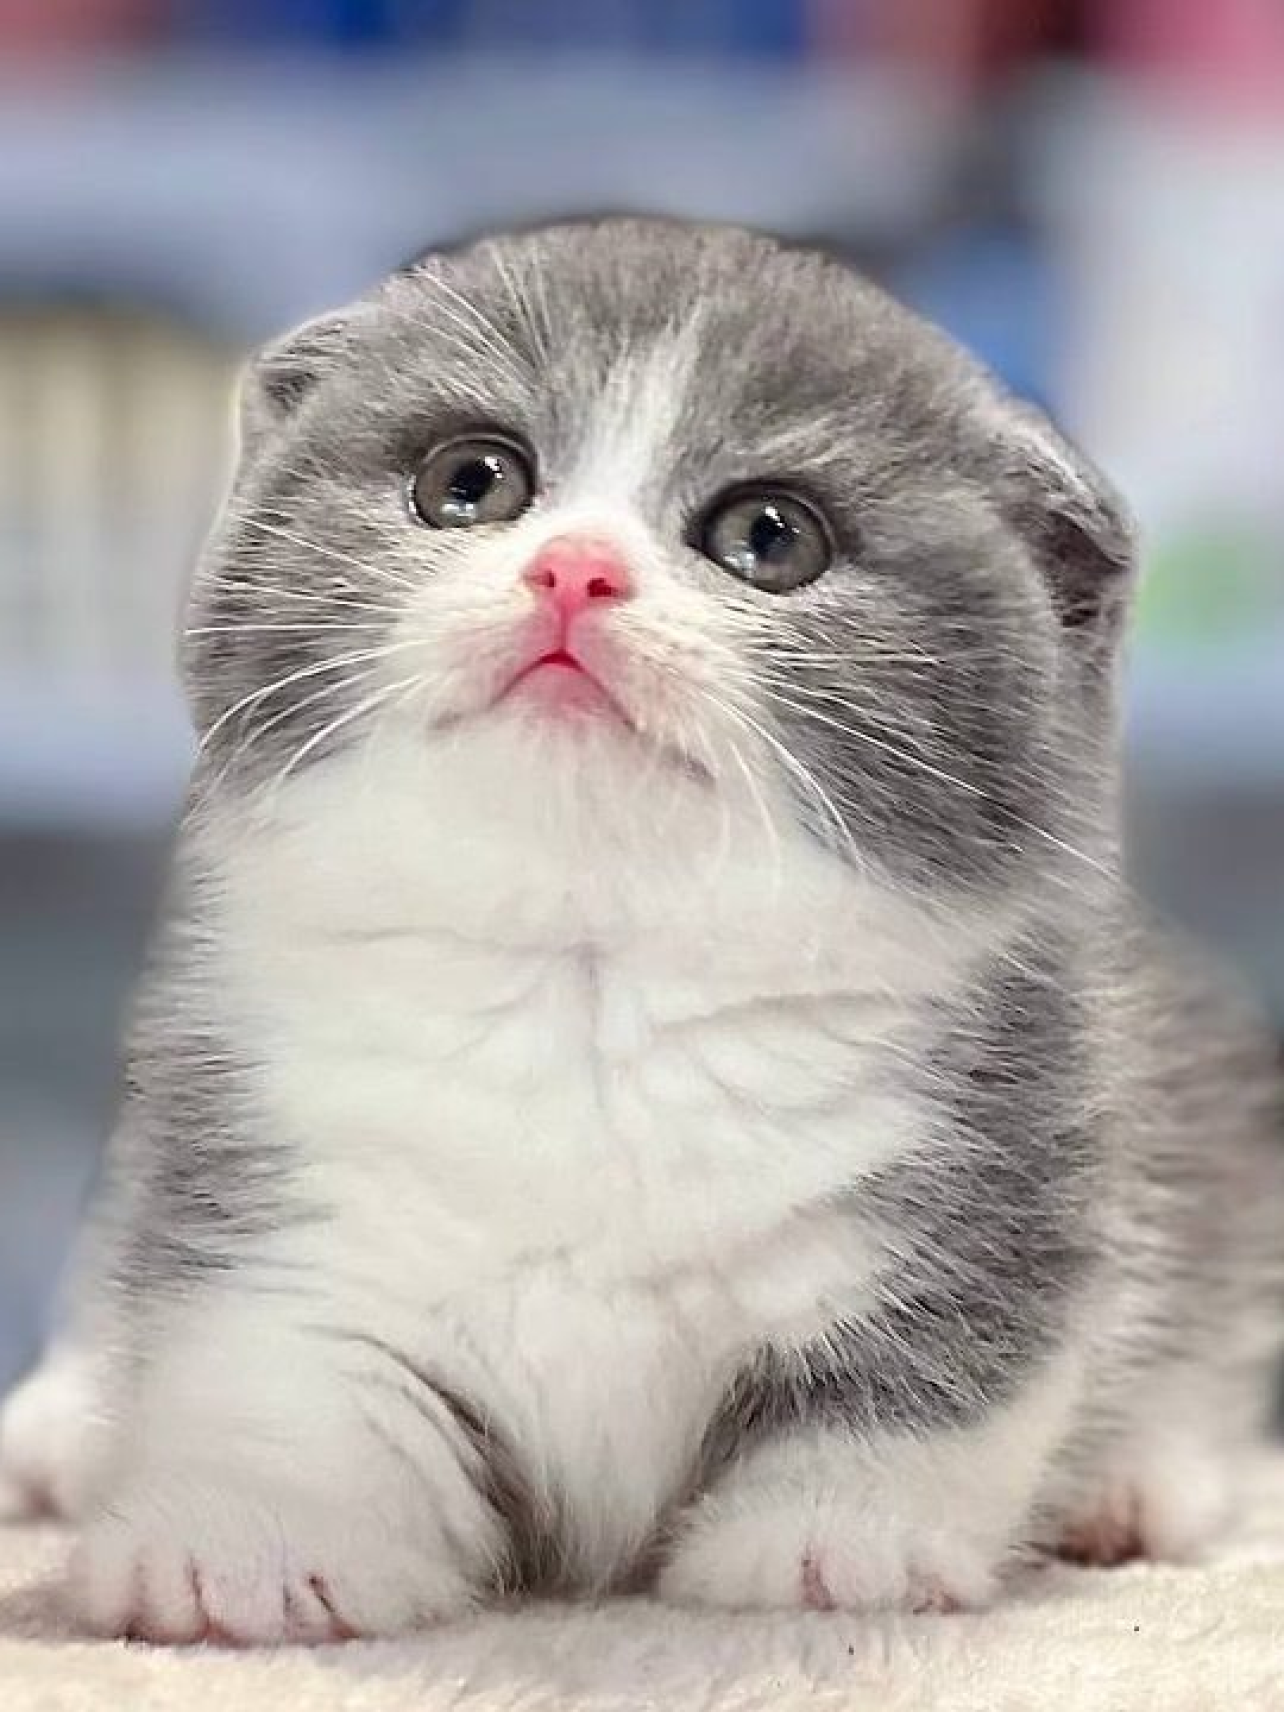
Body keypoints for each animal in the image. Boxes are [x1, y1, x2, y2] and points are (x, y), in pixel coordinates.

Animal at [1, 217, 1279, 1642]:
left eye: (769, 535)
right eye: (470, 481)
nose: (576, 568)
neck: (592, 980)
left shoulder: (1017, 1149)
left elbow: (936, 1375)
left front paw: (832, 1546)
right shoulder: (255, 1150)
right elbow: (284, 1365)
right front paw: (250, 1549)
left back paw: (1137, 1482)